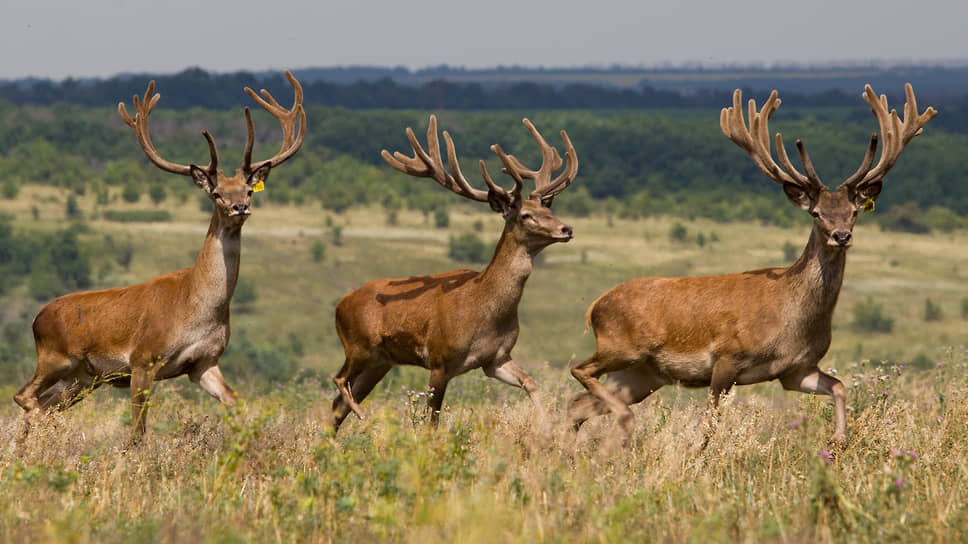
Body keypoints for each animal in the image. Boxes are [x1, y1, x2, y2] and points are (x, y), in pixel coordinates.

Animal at [12, 70, 306, 444]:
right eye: (216, 193)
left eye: (248, 190)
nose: (240, 207)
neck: (196, 306)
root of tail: (37, 318)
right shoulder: (143, 359)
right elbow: (137, 433)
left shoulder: (204, 362)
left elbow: (236, 404)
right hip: (55, 358)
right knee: (24, 397)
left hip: (82, 378)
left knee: (41, 406)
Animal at [328, 115, 576, 434]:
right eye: (525, 215)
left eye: (548, 210)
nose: (566, 229)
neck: (485, 311)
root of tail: (339, 305)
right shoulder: (440, 360)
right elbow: (432, 421)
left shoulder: (496, 358)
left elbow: (531, 383)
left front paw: (548, 425)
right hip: (359, 345)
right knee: (338, 381)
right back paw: (364, 418)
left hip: (380, 361)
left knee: (339, 403)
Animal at [572, 84, 932, 446]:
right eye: (816, 213)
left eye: (854, 211)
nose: (841, 236)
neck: (791, 320)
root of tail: (593, 308)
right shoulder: (727, 357)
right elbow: (710, 423)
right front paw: (703, 454)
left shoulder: (796, 369)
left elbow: (840, 386)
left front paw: (837, 440)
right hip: (622, 348)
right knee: (579, 372)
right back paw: (613, 422)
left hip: (640, 374)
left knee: (578, 405)